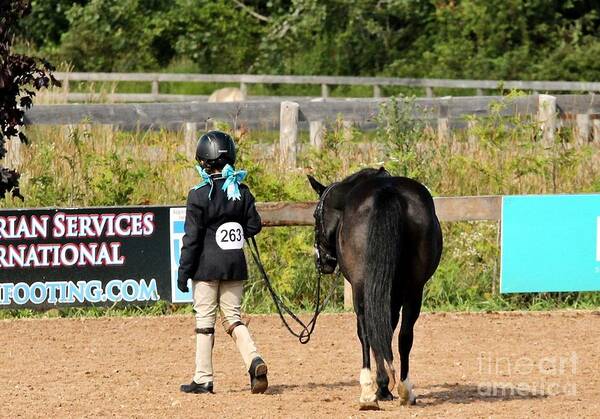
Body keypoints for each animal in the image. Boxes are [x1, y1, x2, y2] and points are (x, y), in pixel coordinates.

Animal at [310, 167, 440, 410]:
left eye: (315, 216)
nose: (322, 261)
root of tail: (386, 191)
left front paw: (380, 387)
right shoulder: (393, 295)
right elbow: (388, 331)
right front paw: (386, 386)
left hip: (362, 287)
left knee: (366, 332)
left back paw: (369, 392)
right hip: (413, 289)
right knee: (405, 335)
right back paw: (405, 389)